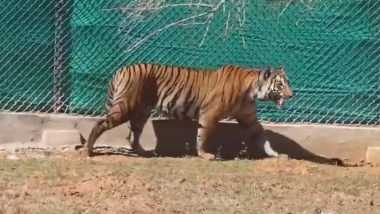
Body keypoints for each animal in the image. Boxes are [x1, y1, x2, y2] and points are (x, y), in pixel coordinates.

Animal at [83, 64, 294, 160]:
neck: (252, 91)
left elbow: (262, 137)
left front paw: (275, 154)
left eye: (288, 82)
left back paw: (143, 151)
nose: (292, 95)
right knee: (100, 123)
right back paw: (89, 150)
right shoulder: (209, 114)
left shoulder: (249, 119)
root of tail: (122, 68)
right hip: (124, 106)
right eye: (280, 84)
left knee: (134, 132)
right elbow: (203, 135)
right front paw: (204, 155)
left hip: (142, 111)